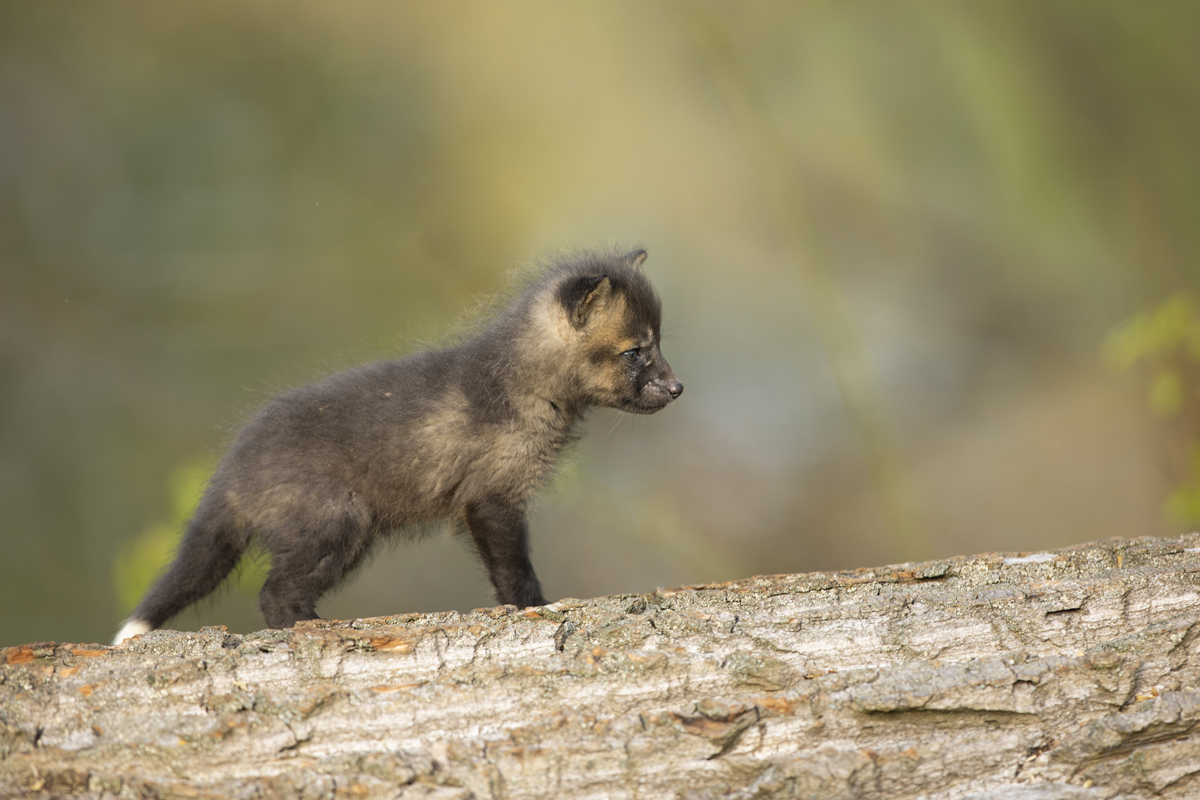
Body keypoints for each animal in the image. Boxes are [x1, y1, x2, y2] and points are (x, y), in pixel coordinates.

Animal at [113, 249, 682, 644]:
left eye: (658, 344)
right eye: (635, 351)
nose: (678, 388)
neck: (524, 384)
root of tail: (230, 471)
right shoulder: (492, 497)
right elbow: (513, 569)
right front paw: (534, 607)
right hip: (338, 522)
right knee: (274, 596)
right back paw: (312, 627)